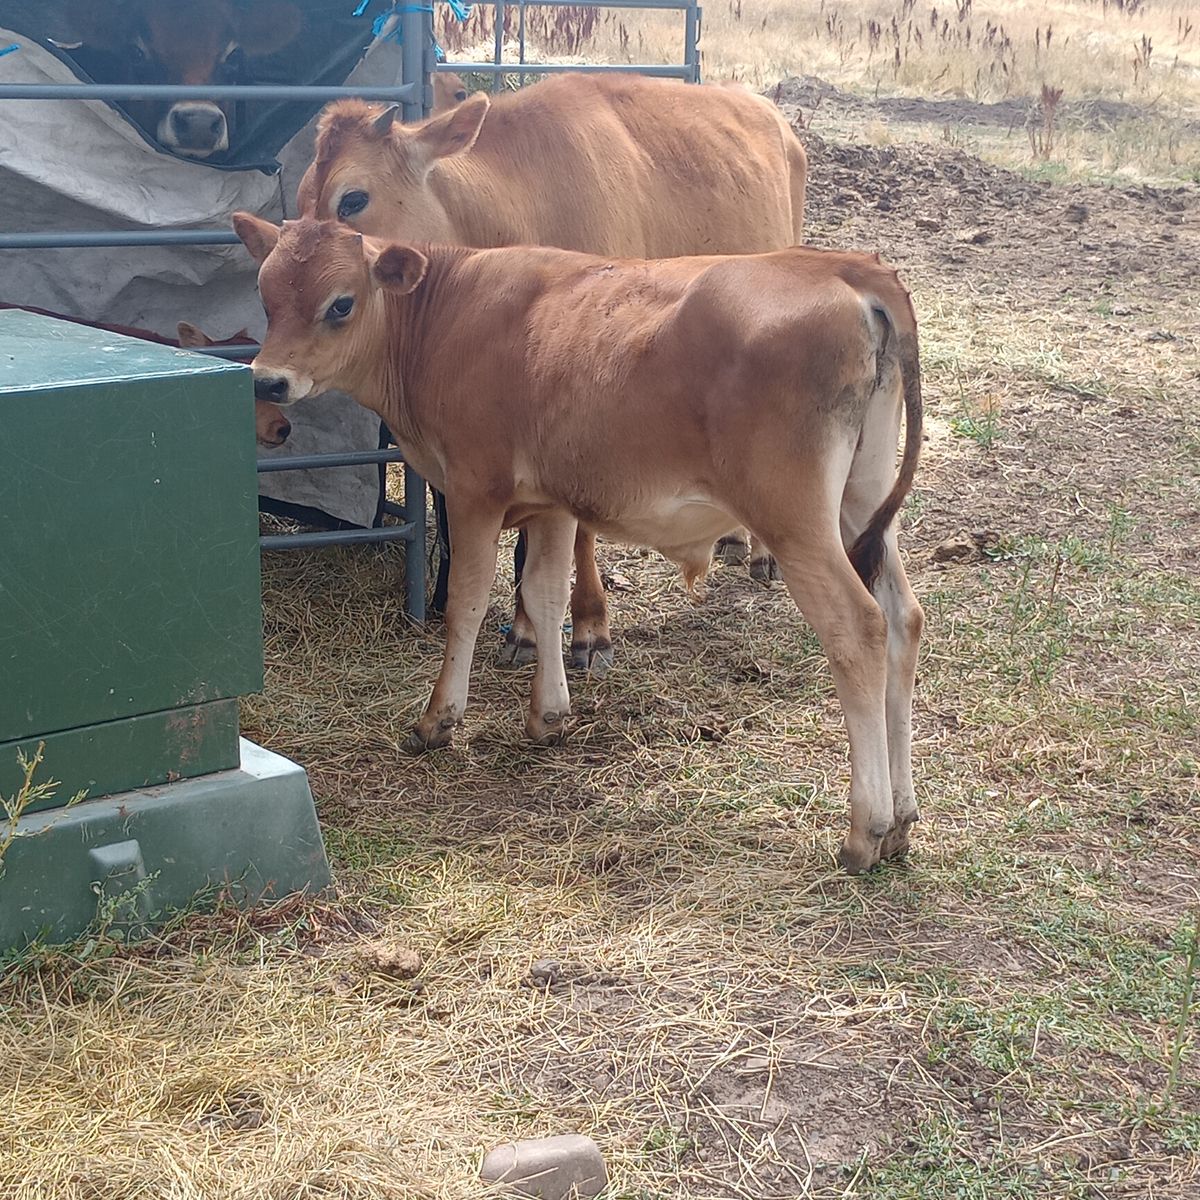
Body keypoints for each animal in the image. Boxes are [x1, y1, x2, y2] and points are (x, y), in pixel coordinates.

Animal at [232, 213, 925, 875]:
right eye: (265, 293)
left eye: (341, 303)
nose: (267, 382)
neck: (445, 317)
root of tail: (845, 266)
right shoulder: (552, 502)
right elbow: (543, 596)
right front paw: (549, 715)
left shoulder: (476, 489)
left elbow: (466, 603)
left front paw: (439, 720)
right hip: (862, 503)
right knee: (903, 620)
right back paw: (902, 820)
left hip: (795, 518)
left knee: (858, 627)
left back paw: (866, 830)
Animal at [294, 74, 808, 672]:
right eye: (299, 201)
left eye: (352, 198)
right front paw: (523, 629)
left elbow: (577, 529)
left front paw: (589, 627)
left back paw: (763, 553)